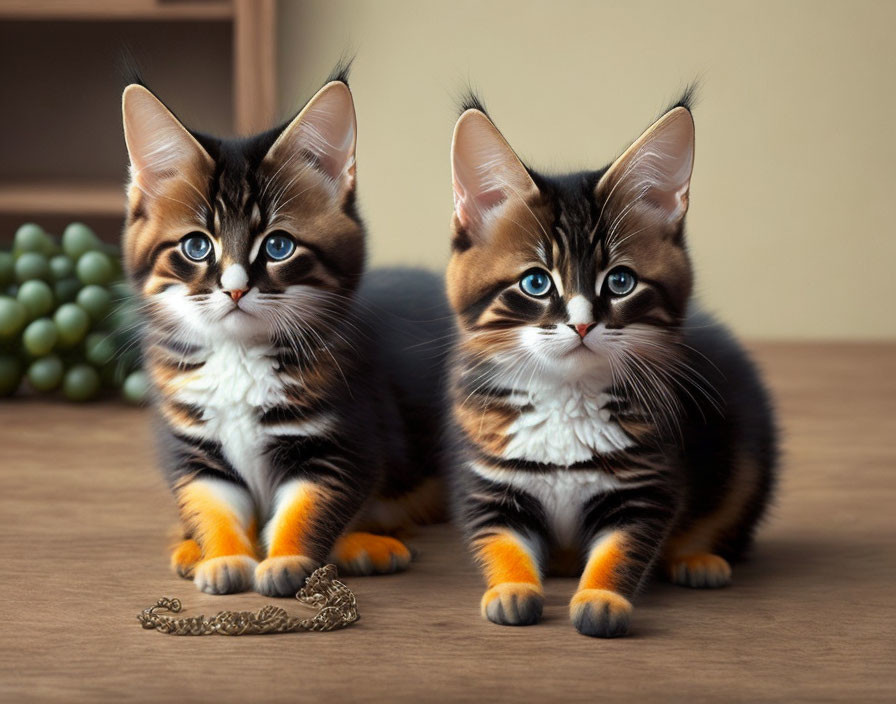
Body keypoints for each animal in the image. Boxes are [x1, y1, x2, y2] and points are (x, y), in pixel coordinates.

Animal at [120, 71, 452, 596]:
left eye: (278, 246)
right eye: (196, 246)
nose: (235, 288)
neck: (239, 359)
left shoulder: (343, 437)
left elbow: (308, 507)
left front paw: (287, 560)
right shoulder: (193, 447)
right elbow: (211, 504)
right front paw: (222, 557)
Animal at [448, 93, 776, 640]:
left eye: (620, 281)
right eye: (536, 283)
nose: (582, 325)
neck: (566, 401)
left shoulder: (646, 481)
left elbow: (622, 548)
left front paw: (601, 598)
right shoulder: (488, 474)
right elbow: (499, 539)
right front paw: (511, 587)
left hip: (746, 450)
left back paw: (696, 558)